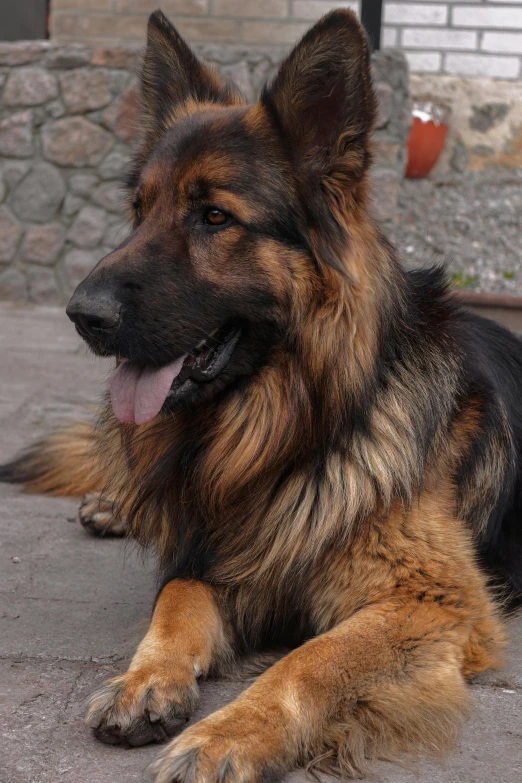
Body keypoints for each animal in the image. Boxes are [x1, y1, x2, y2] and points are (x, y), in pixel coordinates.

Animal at [1, 7, 520, 783]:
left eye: (214, 217)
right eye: (138, 209)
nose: (80, 314)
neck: (288, 436)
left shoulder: (433, 599)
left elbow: (312, 660)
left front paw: (229, 734)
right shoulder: (211, 550)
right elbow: (176, 598)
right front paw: (144, 678)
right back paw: (112, 504)